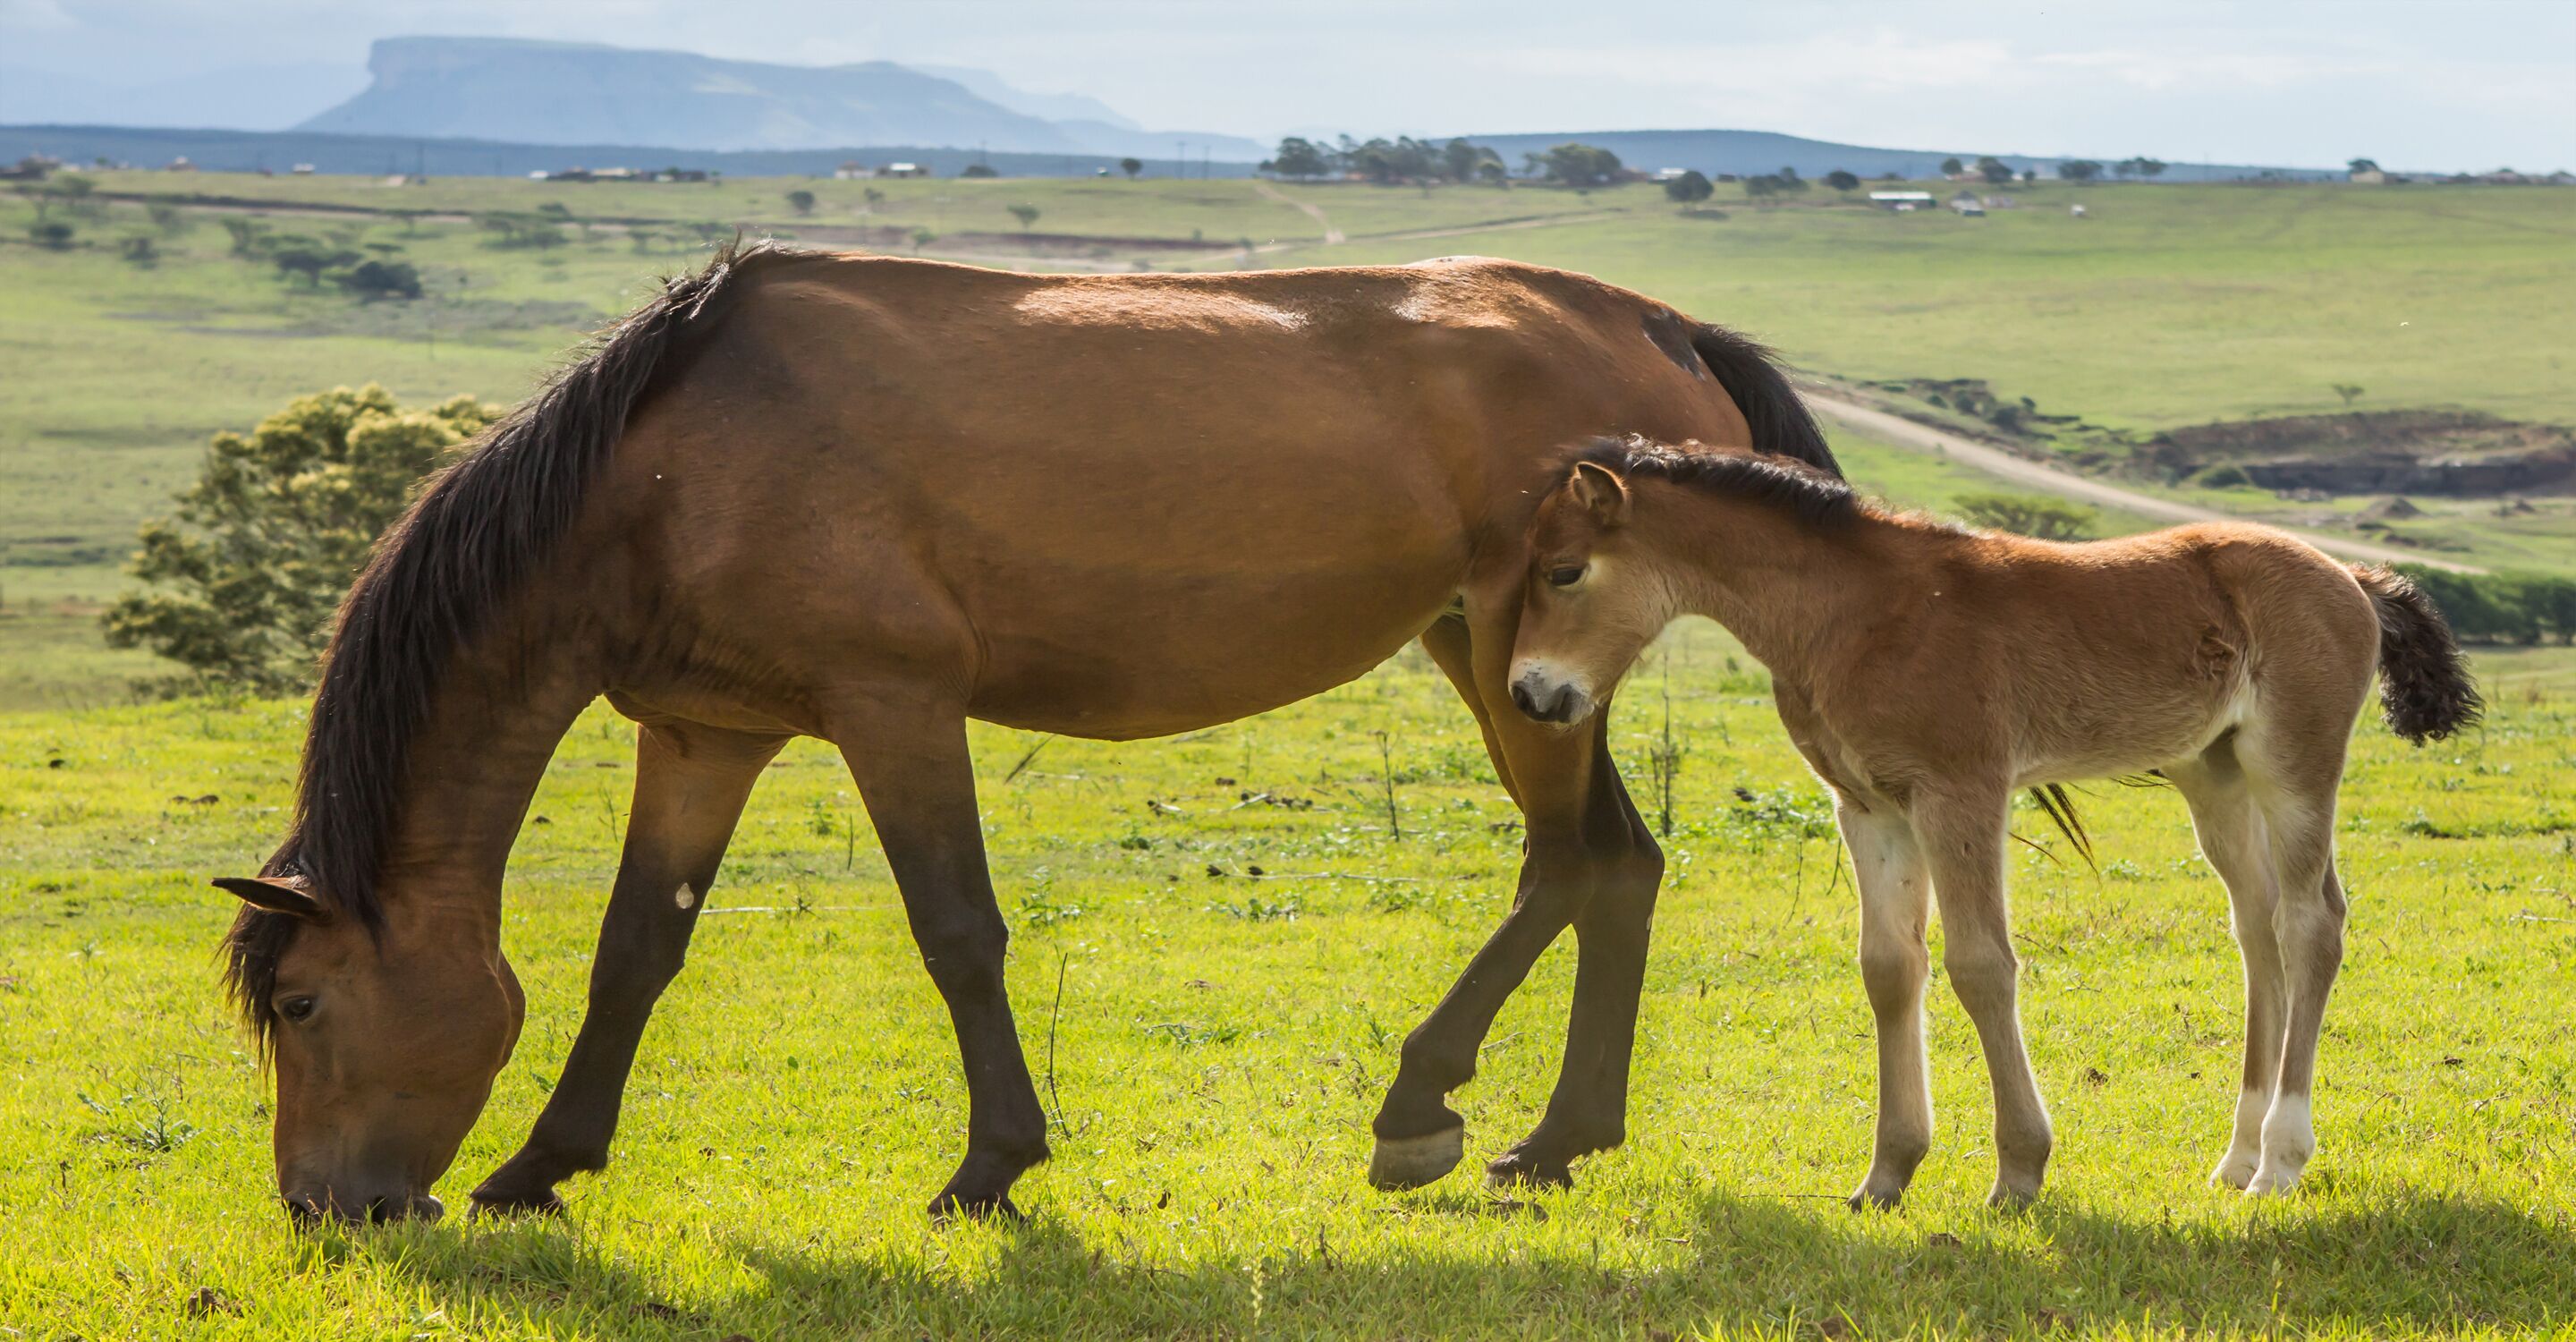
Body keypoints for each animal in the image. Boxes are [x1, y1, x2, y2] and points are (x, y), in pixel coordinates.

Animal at [211, 243, 1846, 1224]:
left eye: (300, 1004)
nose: (325, 1208)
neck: (666, 467)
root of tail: (1659, 321)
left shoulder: (895, 706)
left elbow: (958, 933)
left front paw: (990, 1167)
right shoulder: (702, 735)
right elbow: (636, 952)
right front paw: (543, 1164)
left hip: (1512, 651)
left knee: (1567, 865)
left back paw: (1422, 1104)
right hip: (1495, 652)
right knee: (1615, 868)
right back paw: (1559, 1138)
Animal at [1505, 437, 2479, 1209]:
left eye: (1564, 572)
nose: (1531, 694)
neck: (1857, 614)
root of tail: (2351, 578)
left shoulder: (1960, 791)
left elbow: (1980, 966)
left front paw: (2019, 1172)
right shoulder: (1869, 807)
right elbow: (1889, 969)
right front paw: (1887, 1175)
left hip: (2293, 764)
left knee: (2312, 923)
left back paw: (2279, 1162)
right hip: (2215, 773)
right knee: (2259, 927)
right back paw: (2236, 1158)